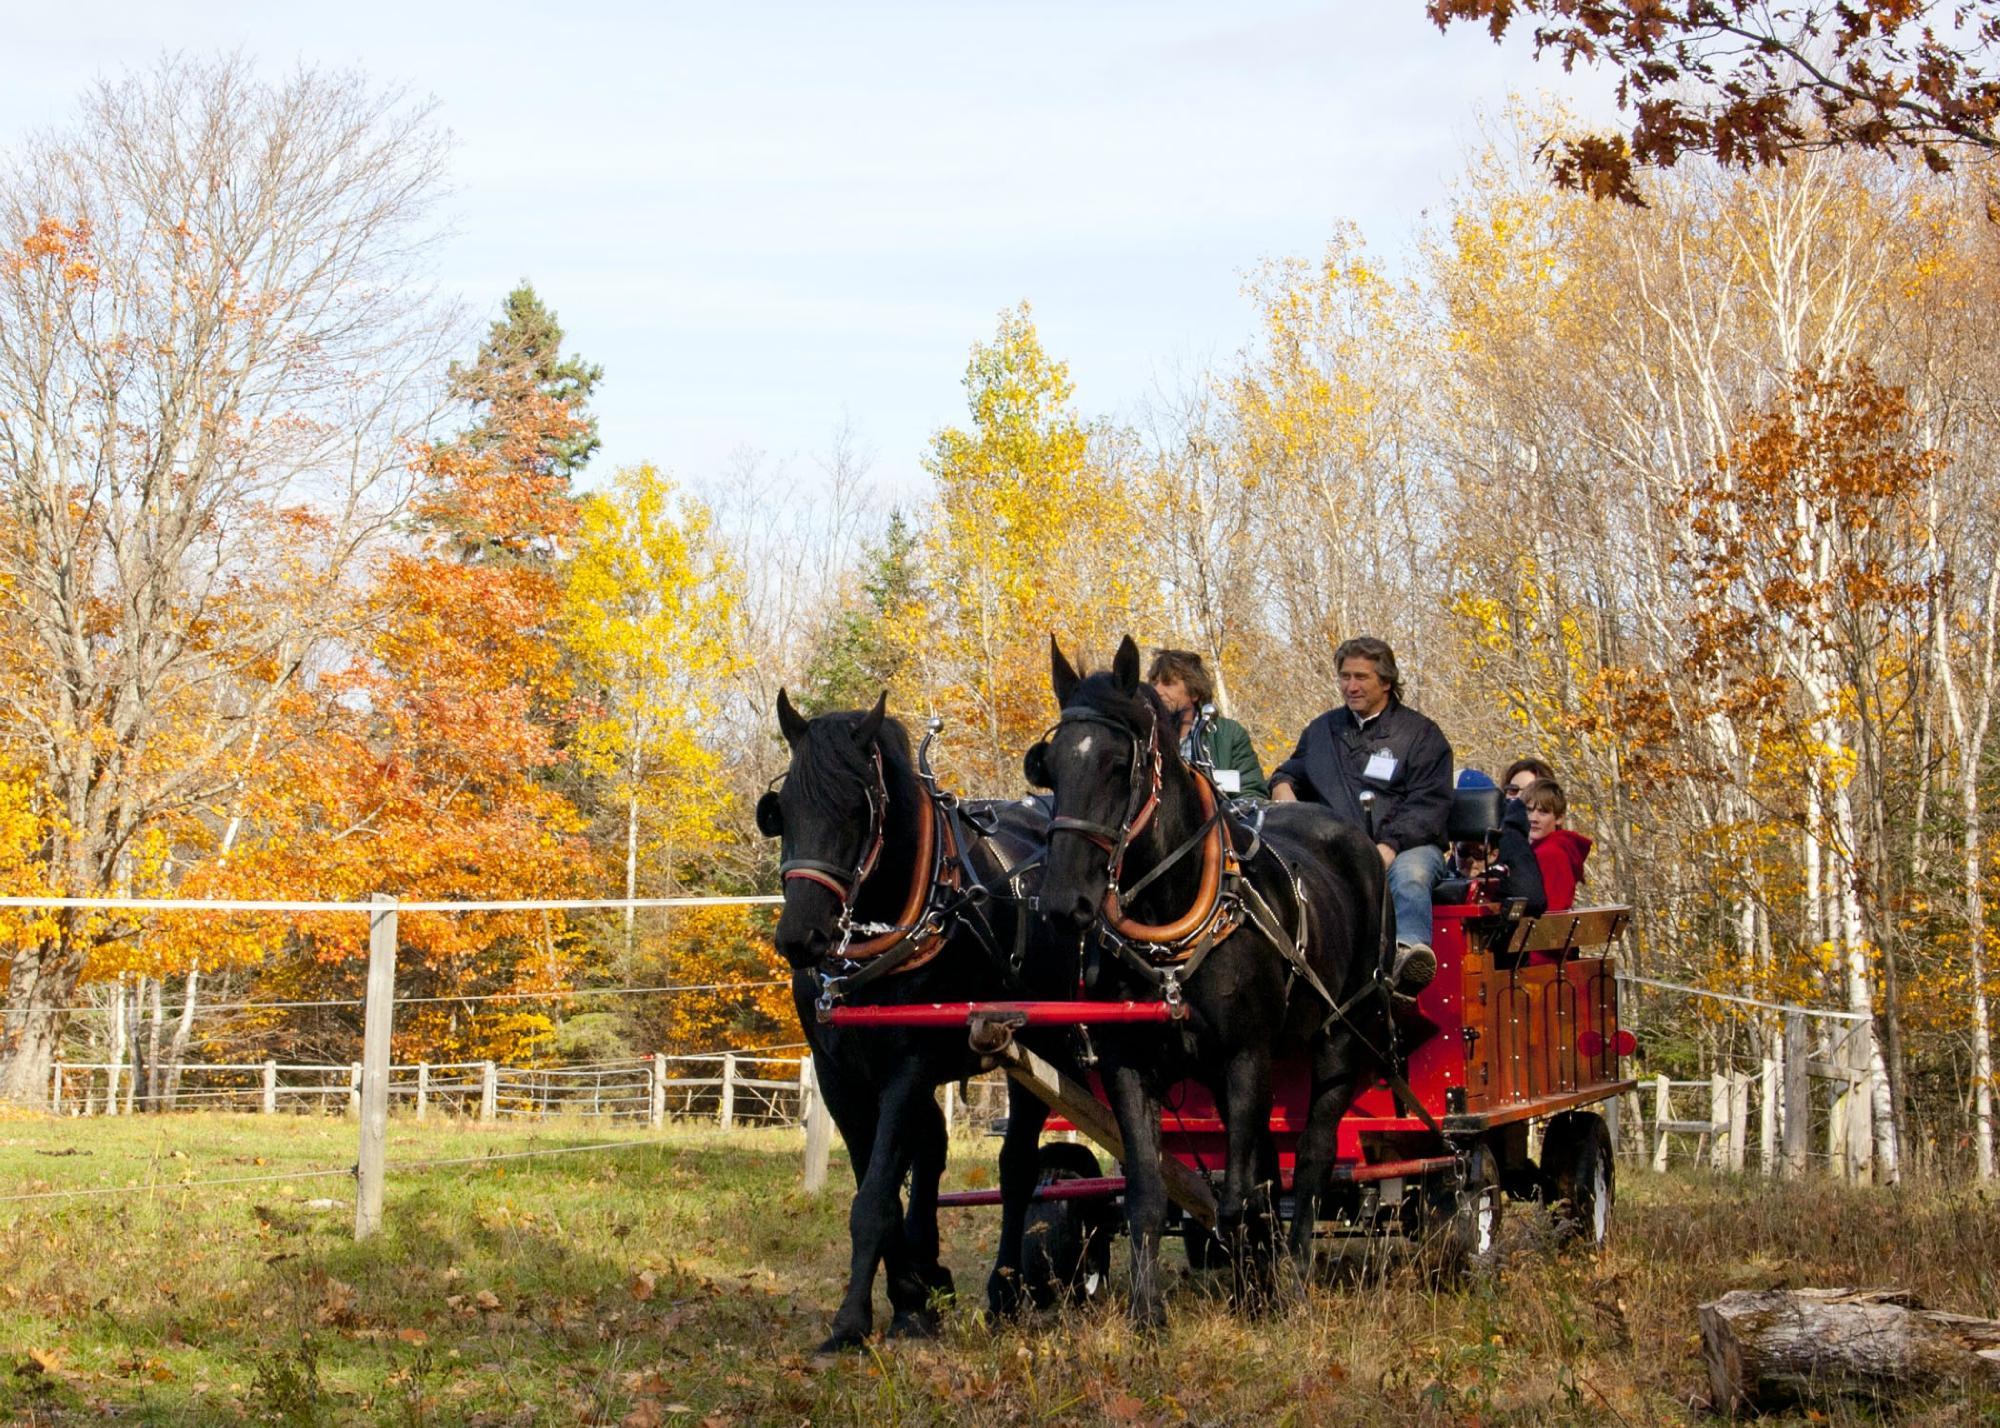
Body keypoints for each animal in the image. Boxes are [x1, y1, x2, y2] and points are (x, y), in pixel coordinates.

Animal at [756, 688, 1064, 1344]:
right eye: (782, 811)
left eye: (856, 809)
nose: (800, 937)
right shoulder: (840, 1074)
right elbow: (880, 1183)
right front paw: (910, 1297)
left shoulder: (909, 1063)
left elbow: (875, 1199)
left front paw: (854, 1320)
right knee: (935, 1149)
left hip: (1039, 1054)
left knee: (1017, 1168)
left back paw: (1006, 1288)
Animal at [1024, 636, 1384, 1320]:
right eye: (1049, 766)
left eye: (1119, 764)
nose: (1062, 903)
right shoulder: (1130, 1065)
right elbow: (1147, 1194)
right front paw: (1148, 1314)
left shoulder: (1246, 1056)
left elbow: (1240, 1191)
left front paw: (1254, 1297)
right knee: (1271, 1168)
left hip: (1338, 1038)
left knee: (1313, 1160)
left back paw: (1293, 1274)